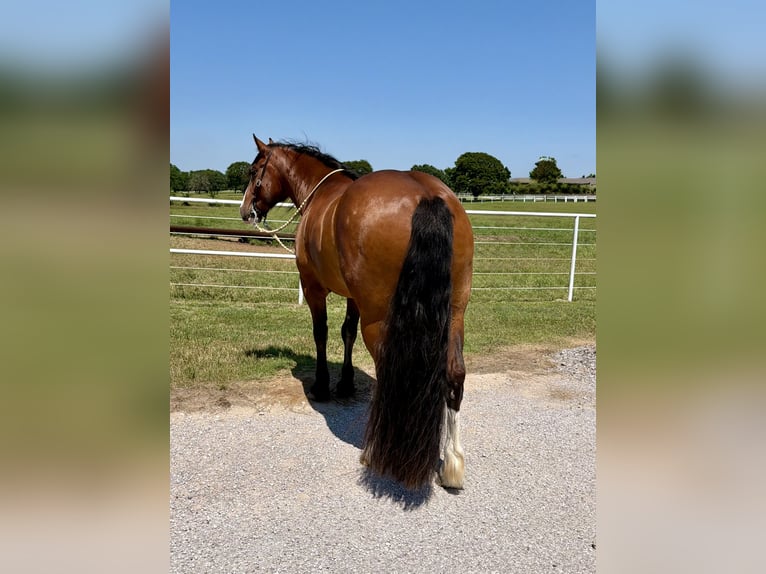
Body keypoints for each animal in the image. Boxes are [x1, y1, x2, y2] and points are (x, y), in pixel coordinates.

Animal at [240, 135, 474, 490]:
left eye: (254, 171)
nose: (245, 211)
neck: (320, 194)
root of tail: (428, 196)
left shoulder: (313, 287)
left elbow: (321, 333)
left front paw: (323, 386)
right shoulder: (353, 297)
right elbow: (346, 332)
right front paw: (347, 383)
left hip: (379, 319)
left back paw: (377, 453)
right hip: (455, 313)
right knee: (454, 373)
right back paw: (451, 461)